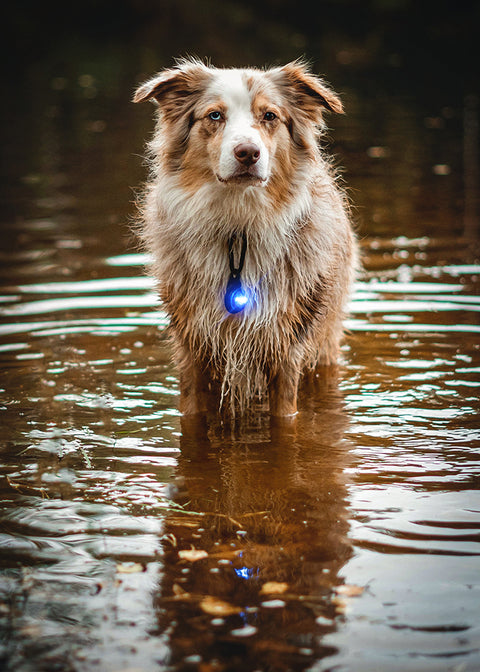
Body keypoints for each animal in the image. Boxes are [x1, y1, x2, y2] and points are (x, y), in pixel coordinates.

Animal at [133, 59, 354, 414]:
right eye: (214, 115)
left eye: (270, 116)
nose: (248, 153)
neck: (239, 224)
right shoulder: (191, 344)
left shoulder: (287, 345)